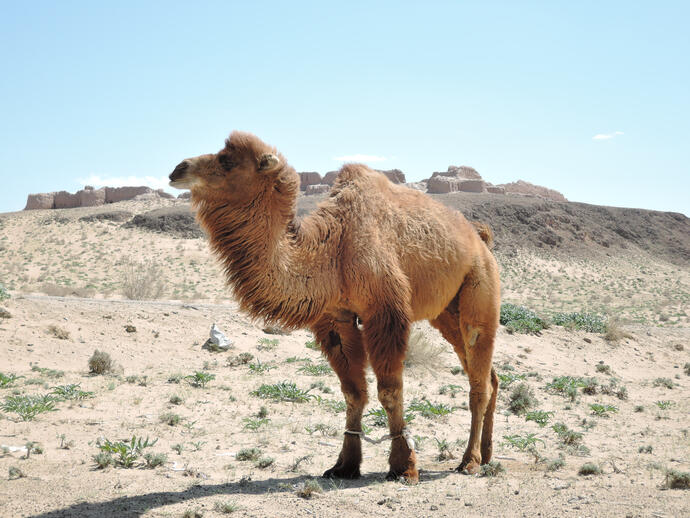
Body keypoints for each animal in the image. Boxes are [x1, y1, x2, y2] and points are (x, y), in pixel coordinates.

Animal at [168, 131, 500, 484]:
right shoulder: (335, 317)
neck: (333, 248)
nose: (177, 169)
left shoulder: (385, 310)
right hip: (446, 312)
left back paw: (470, 461)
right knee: (487, 375)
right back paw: (487, 454)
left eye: (227, 160)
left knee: (478, 374)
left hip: (480, 286)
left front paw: (404, 466)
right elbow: (353, 392)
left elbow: (389, 390)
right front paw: (344, 465)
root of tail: (481, 240)